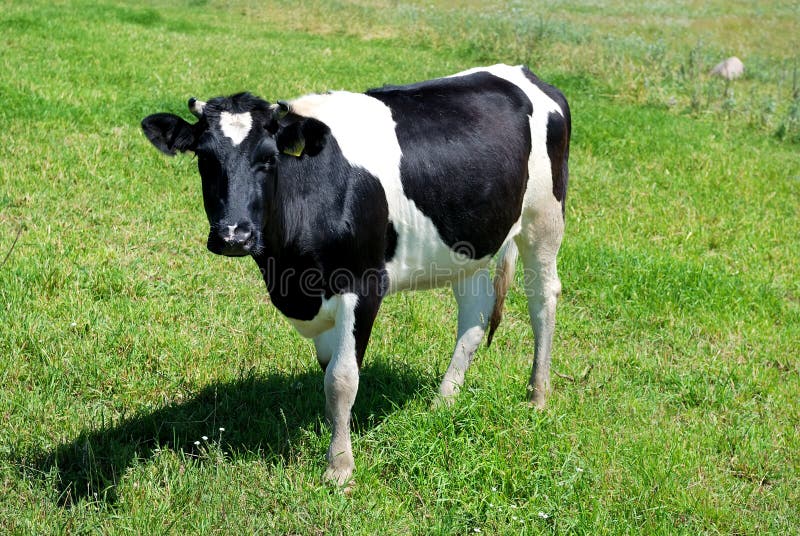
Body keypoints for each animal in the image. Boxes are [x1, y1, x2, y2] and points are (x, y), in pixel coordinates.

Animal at [141, 64, 571, 487]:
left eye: (268, 159)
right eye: (204, 159)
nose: (234, 235)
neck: (289, 274)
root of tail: (523, 72)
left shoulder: (362, 285)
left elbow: (342, 378)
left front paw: (339, 465)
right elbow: (326, 367)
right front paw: (332, 433)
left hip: (544, 219)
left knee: (542, 301)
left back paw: (537, 395)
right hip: (469, 245)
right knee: (474, 315)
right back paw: (444, 401)